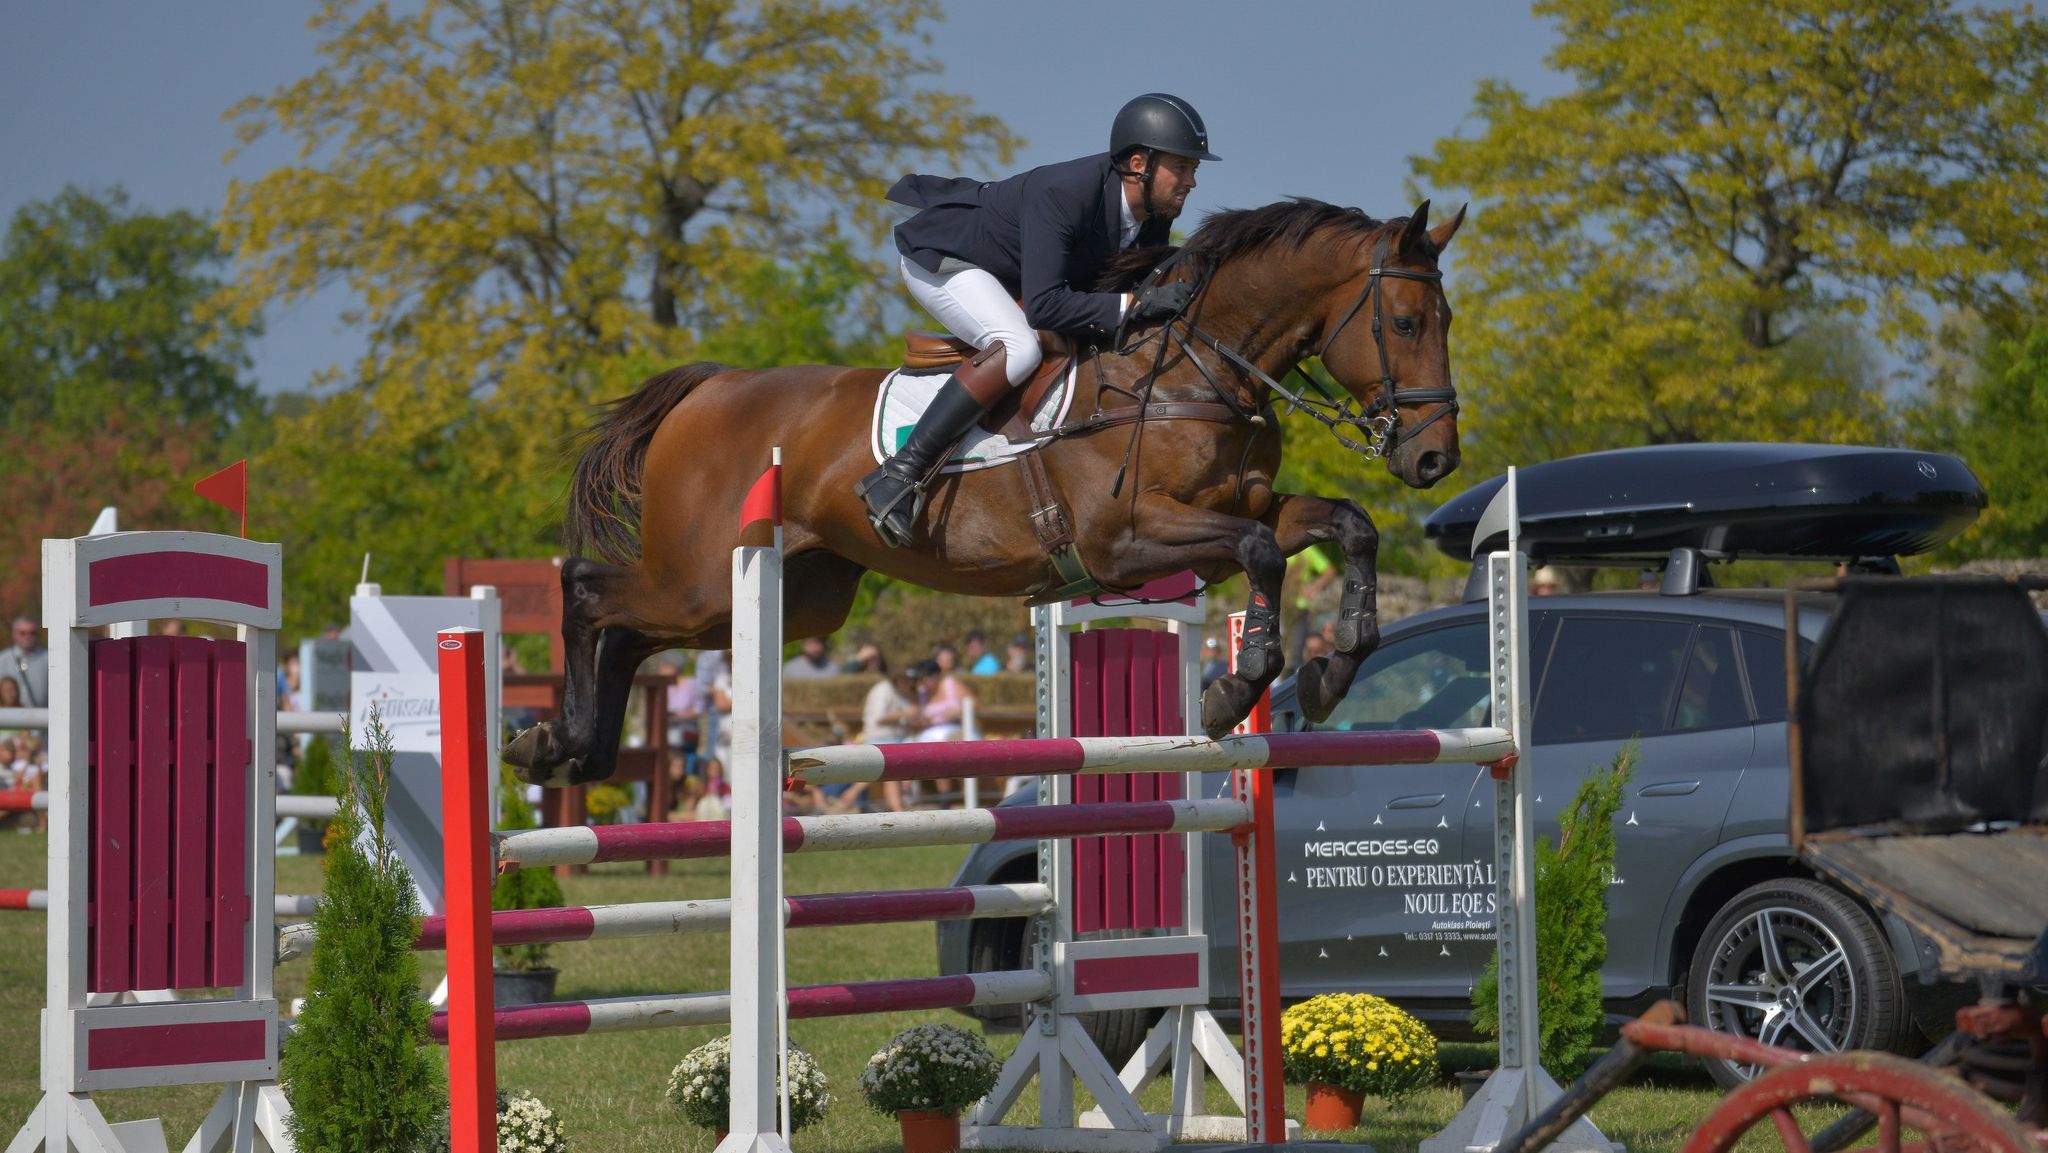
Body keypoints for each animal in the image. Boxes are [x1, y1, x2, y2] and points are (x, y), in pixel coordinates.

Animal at [504, 197, 1466, 786]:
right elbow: (1264, 552)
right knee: (587, 590)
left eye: (1446, 320)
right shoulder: (1125, 540)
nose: (1434, 461)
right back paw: (553, 737)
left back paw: (573, 750)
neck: (1193, 366)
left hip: (788, 597)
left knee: (631, 631)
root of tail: (707, 389)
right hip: (704, 577)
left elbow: (1347, 525)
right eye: (1405, 321)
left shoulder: (1245, 503)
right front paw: (1238, 687)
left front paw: (1335, 665)